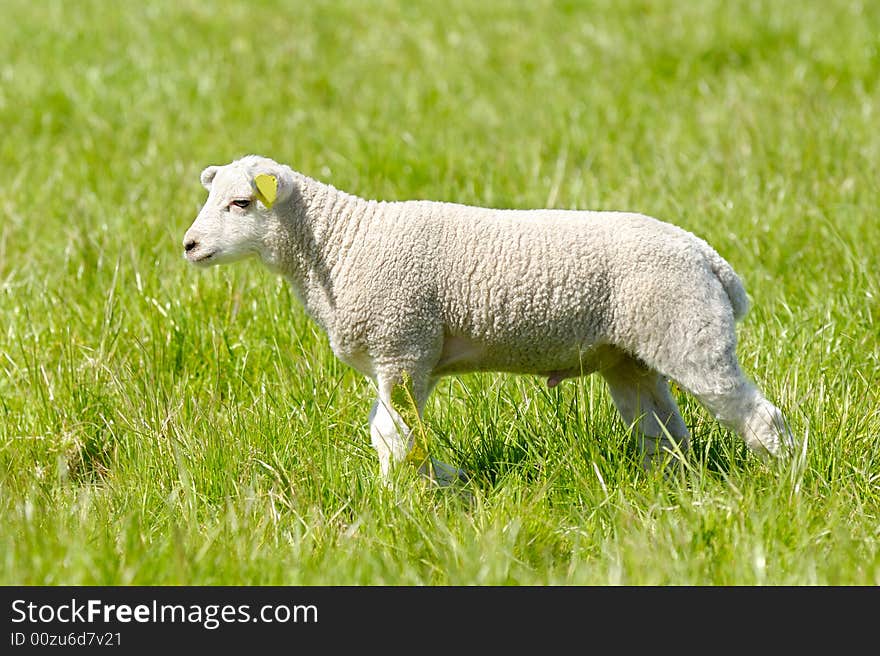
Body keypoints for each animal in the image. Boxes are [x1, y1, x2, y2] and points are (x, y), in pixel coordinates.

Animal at [182, 152, 796, 482]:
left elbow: (391, 435)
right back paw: (668, 488)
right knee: (664, 434)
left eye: (241, 203)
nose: (188, 245)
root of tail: (708, 257)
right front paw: (424, 484)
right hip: (632, 357)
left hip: (692, 336)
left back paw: (784, 476)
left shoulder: (402, 348)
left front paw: (398, 498)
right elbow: (395, 433)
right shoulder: (407, 360)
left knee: (759, 416)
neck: (339, 246)